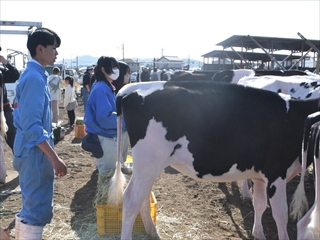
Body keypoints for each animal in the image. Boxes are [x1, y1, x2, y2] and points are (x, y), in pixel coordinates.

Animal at [115, 79, 320, 239]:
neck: (293, 117)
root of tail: (132, 90)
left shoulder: (260, 176)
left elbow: (260, 205)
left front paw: (258, 234)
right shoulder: (276, 173)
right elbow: (281, 215)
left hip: (150, 166)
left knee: (143, 197)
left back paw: (153, 232)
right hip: (148, 162)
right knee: (131, 200)